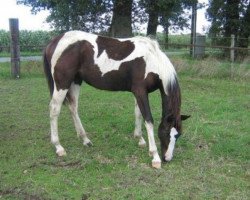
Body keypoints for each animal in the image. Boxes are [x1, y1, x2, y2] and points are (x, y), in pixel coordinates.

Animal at [44, 30, 190, 169]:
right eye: (166, 132)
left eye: (178, 135)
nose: (167, 158)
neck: (151, 60)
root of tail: (55, 41)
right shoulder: (140, 92)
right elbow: (148, 120)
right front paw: (155, 157)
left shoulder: (139, 93)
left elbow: (138, 114)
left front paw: (140, 139)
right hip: (63, 83)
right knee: (54, 109)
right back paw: (58, 147)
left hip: (75, 81)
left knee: (73, 107)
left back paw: (85, 140)